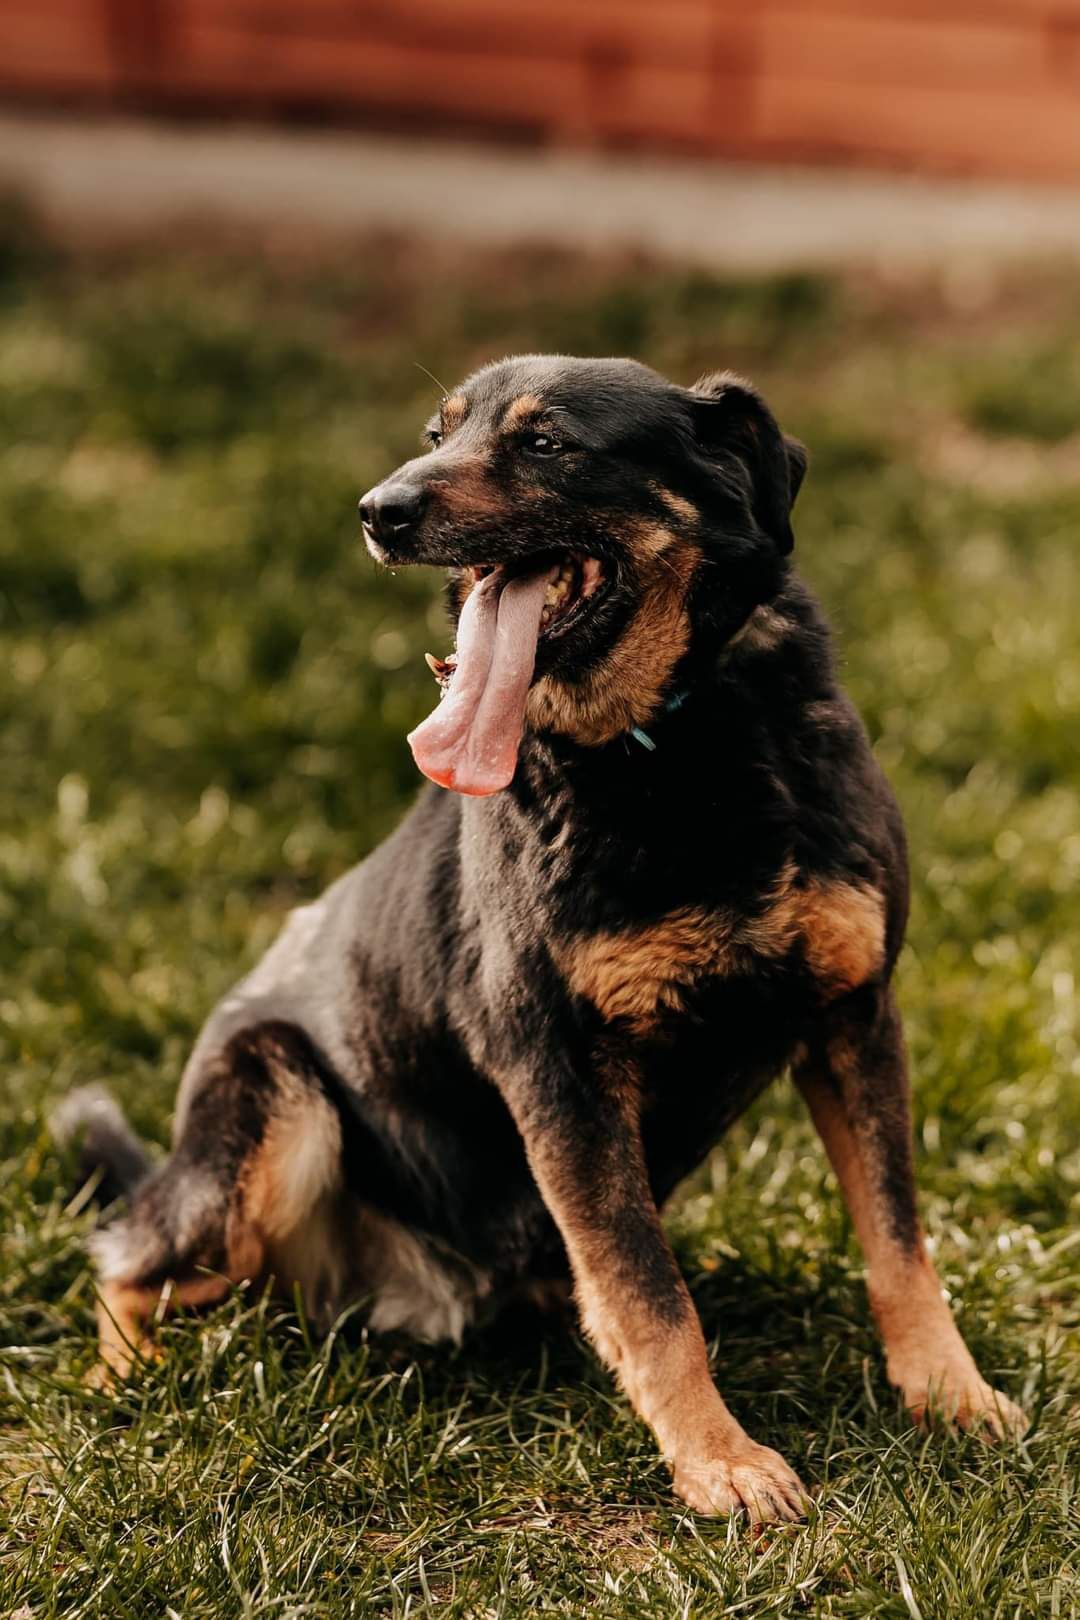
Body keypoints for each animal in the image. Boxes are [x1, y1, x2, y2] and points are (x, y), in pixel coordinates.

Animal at [61, 351, 1029, 1516]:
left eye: (548, 443)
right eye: (437, 434)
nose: (377, 510)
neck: (671, 740)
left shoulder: (854, 1015)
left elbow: (896, 1240)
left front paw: (948, 1392)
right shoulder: (559, 1067)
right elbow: (649, 1294)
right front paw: (720, 1461)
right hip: (273, 1110)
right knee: (130, 1259)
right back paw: (124, 1382)